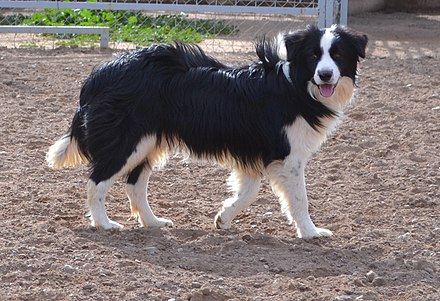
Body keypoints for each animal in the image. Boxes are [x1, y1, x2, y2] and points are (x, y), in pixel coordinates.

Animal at [47, 24, 368, 238]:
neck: (296, 85)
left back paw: (153, 222)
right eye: (314, 55)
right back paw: (104, 223)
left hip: (148, 142)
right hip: (126, 141)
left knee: (135, 185)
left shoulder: (253, 150)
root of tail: (98, 74)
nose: (325, 75)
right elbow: (299, 198)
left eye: (337, 54)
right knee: (97, 181)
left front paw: (223, 218)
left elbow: (249, 190)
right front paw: (311, 232)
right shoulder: (287, 156)